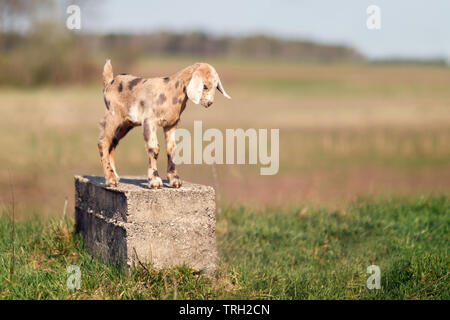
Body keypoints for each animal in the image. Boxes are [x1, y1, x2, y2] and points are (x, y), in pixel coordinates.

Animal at [98, 60, 232, 188]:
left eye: (216, 86)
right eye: (204, 86)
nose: (209, 103)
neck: (171, 90)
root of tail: (109, 83)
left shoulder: (171, 124)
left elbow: (171, 149)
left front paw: (175, 180)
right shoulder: (149, 121)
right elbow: (154, 148)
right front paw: (155, 181)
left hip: (126, 123)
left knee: (113, 142)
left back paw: (115, 176)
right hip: (113, 115)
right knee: (103, 142)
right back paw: (111, 179)